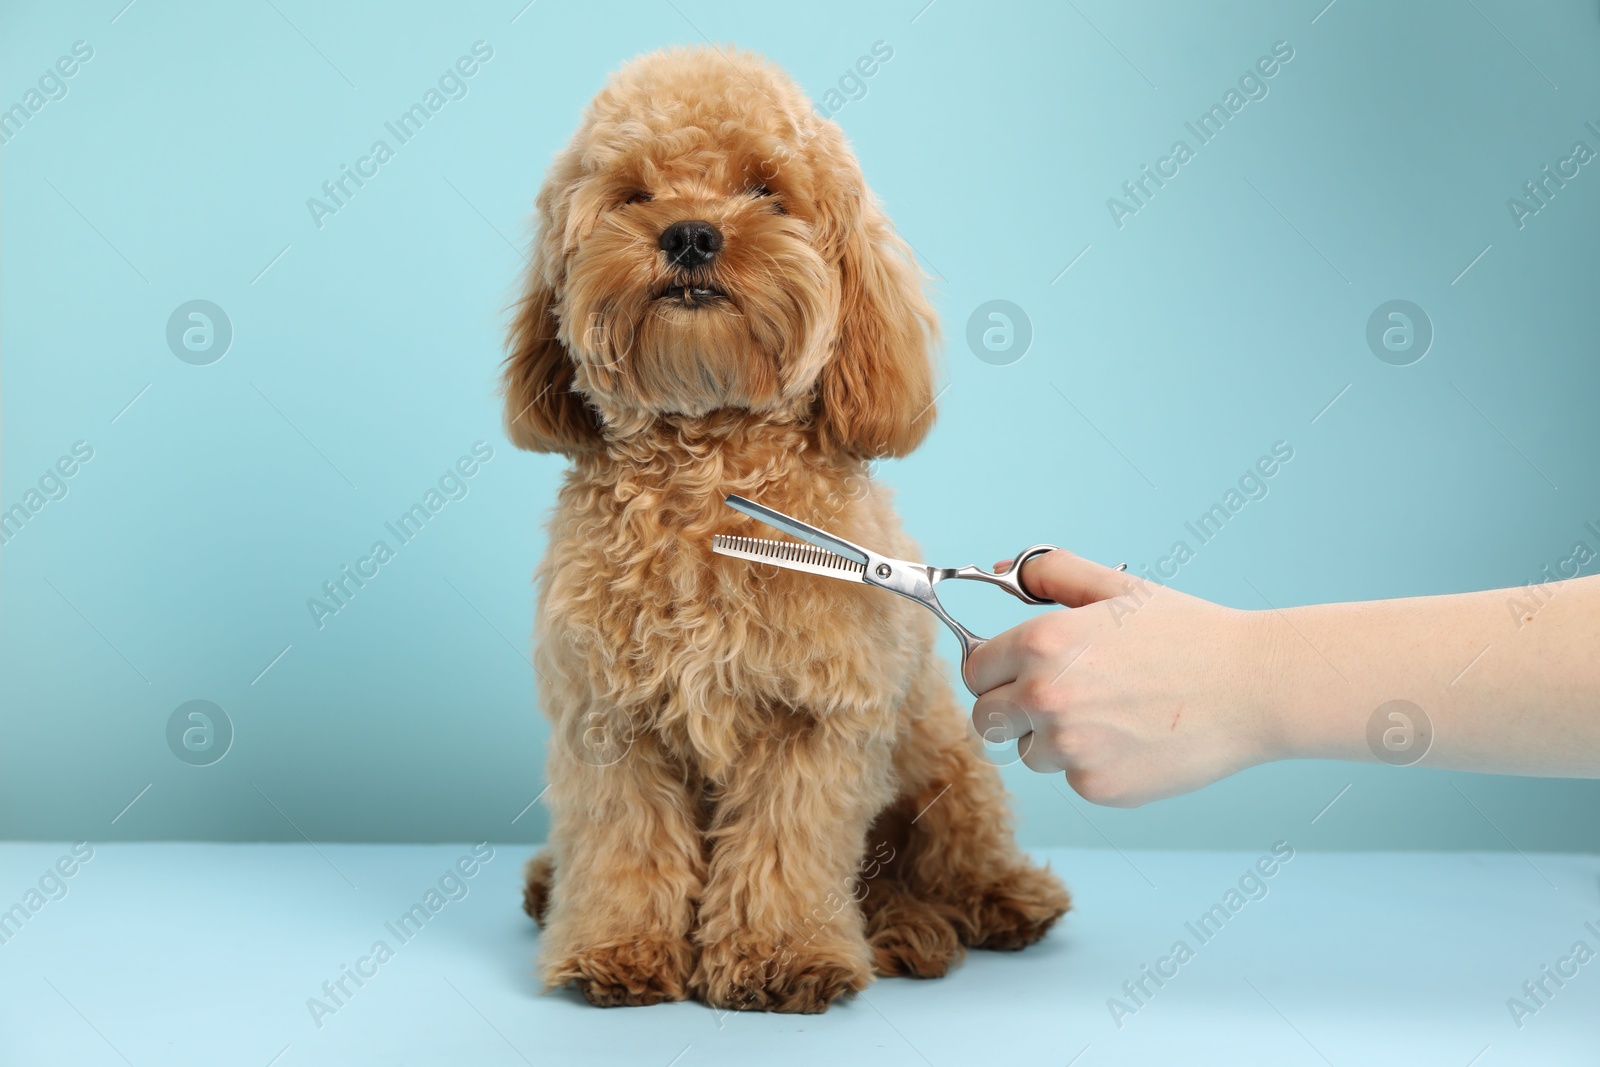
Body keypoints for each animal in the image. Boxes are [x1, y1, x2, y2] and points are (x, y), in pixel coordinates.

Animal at [505, 45, 1068, 1017]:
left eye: (765, 189)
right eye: (632, 193)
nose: (691, 234)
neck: (708, 476)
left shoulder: (814, 721)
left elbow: (783, 848)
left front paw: (781, 955)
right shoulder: (610, 720)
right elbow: (624, 846)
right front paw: (616, 945)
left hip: (946, 764)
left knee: (955, 858)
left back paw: (991, 904)